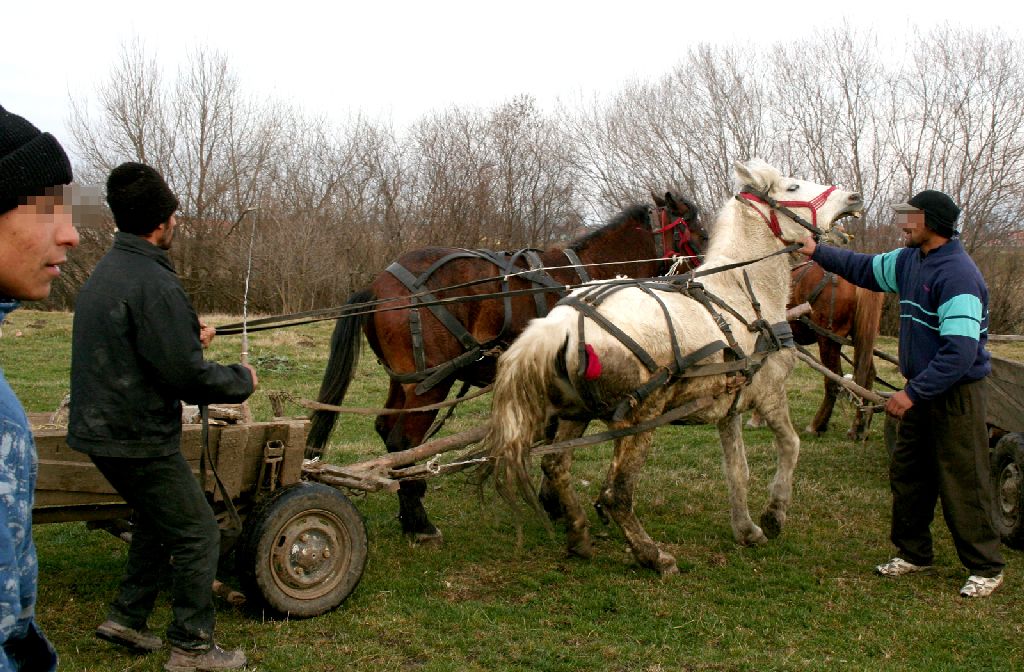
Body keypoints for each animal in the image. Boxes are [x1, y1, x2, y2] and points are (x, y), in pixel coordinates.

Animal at [303, 191, 704, 544]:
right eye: (696, 230)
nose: (701, 279)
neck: (593, 273)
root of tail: (378, 287)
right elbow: (558, 442)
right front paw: (554, 502)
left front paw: (551, 500)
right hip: (430, 383)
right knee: (404, 441)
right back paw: (420, 523)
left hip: (404, 382)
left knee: (388, 432)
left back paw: (408, 508)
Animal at [481, 157, 864, 573]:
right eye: (793, 186)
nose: (854, 196)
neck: (743, 292)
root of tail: (558, 324)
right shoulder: (770, 394)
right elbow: (791, 445)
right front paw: (774, 514)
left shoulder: (730, 407)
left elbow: (737, 471)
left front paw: (746, 529)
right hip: (639, 420)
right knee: (616, 494)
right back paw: (652, 554)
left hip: (576, 414)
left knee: (556, 467)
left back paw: (580, 535)